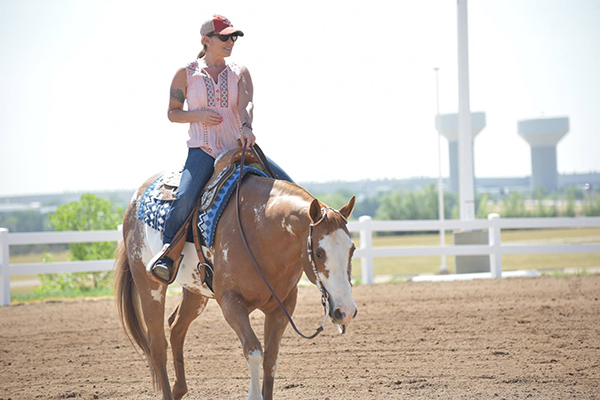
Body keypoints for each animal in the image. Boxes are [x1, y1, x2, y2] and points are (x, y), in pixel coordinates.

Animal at [113, 166, 356, 400]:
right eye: (319, 252)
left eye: (352, 248)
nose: (346, 311)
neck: (261, 230)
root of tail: (135, 199)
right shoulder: (231, 303)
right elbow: (254, 350)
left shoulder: (283, 305)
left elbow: (271, 357)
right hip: (149, 285)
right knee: (157, 344)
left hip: (195, 292)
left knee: (176, 328)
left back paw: (179, 389)